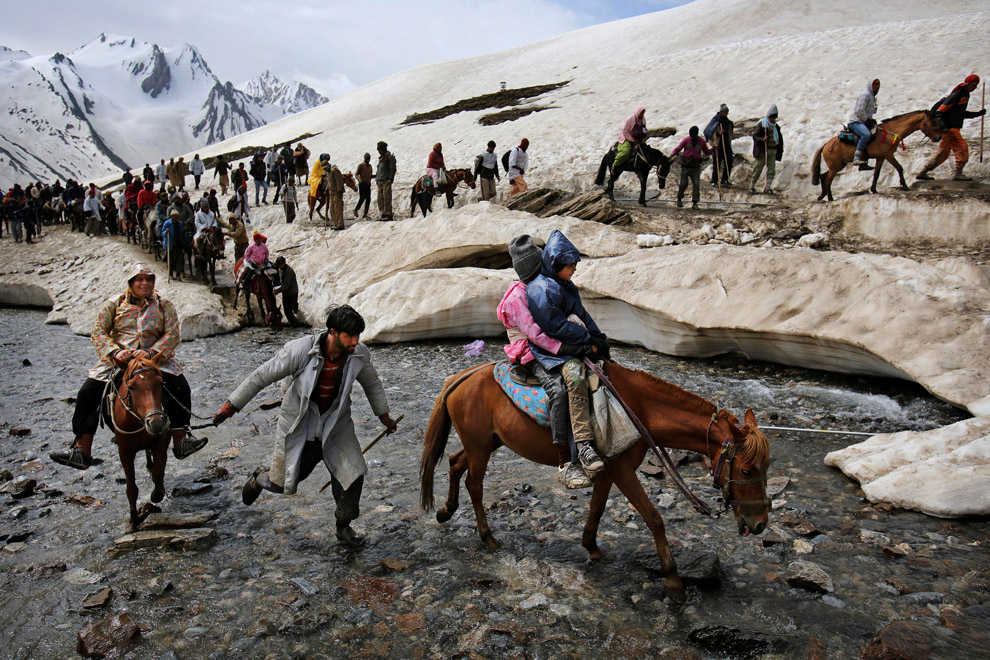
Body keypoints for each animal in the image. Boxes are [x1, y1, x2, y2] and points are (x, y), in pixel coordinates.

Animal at [420, 360, 776, 604]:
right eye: (747, 470)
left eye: (767, 465)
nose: (759, 524)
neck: (638, 410)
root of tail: (461, 377)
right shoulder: (623, 471)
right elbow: (654, 518)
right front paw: (673, 580)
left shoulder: (609, 471)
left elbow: (597, 509)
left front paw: (591, 547)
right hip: (480, 446)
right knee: (474, 484)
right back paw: (488, 537)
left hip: (486, 443)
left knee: (454, 463)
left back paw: (445, 512)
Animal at [812, 109, 944, 201]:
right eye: (932, 121)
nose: (938, 138)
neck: (892, 132)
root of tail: (826, 145)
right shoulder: (888, 155)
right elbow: (899, 168)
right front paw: (905, 186)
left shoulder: (881, 157)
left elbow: (877, 173)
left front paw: (874, 190)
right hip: (836, 166)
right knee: (828, 180)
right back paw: (830, 199)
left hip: (838, 165)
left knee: (823, 176)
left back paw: (822, 196)